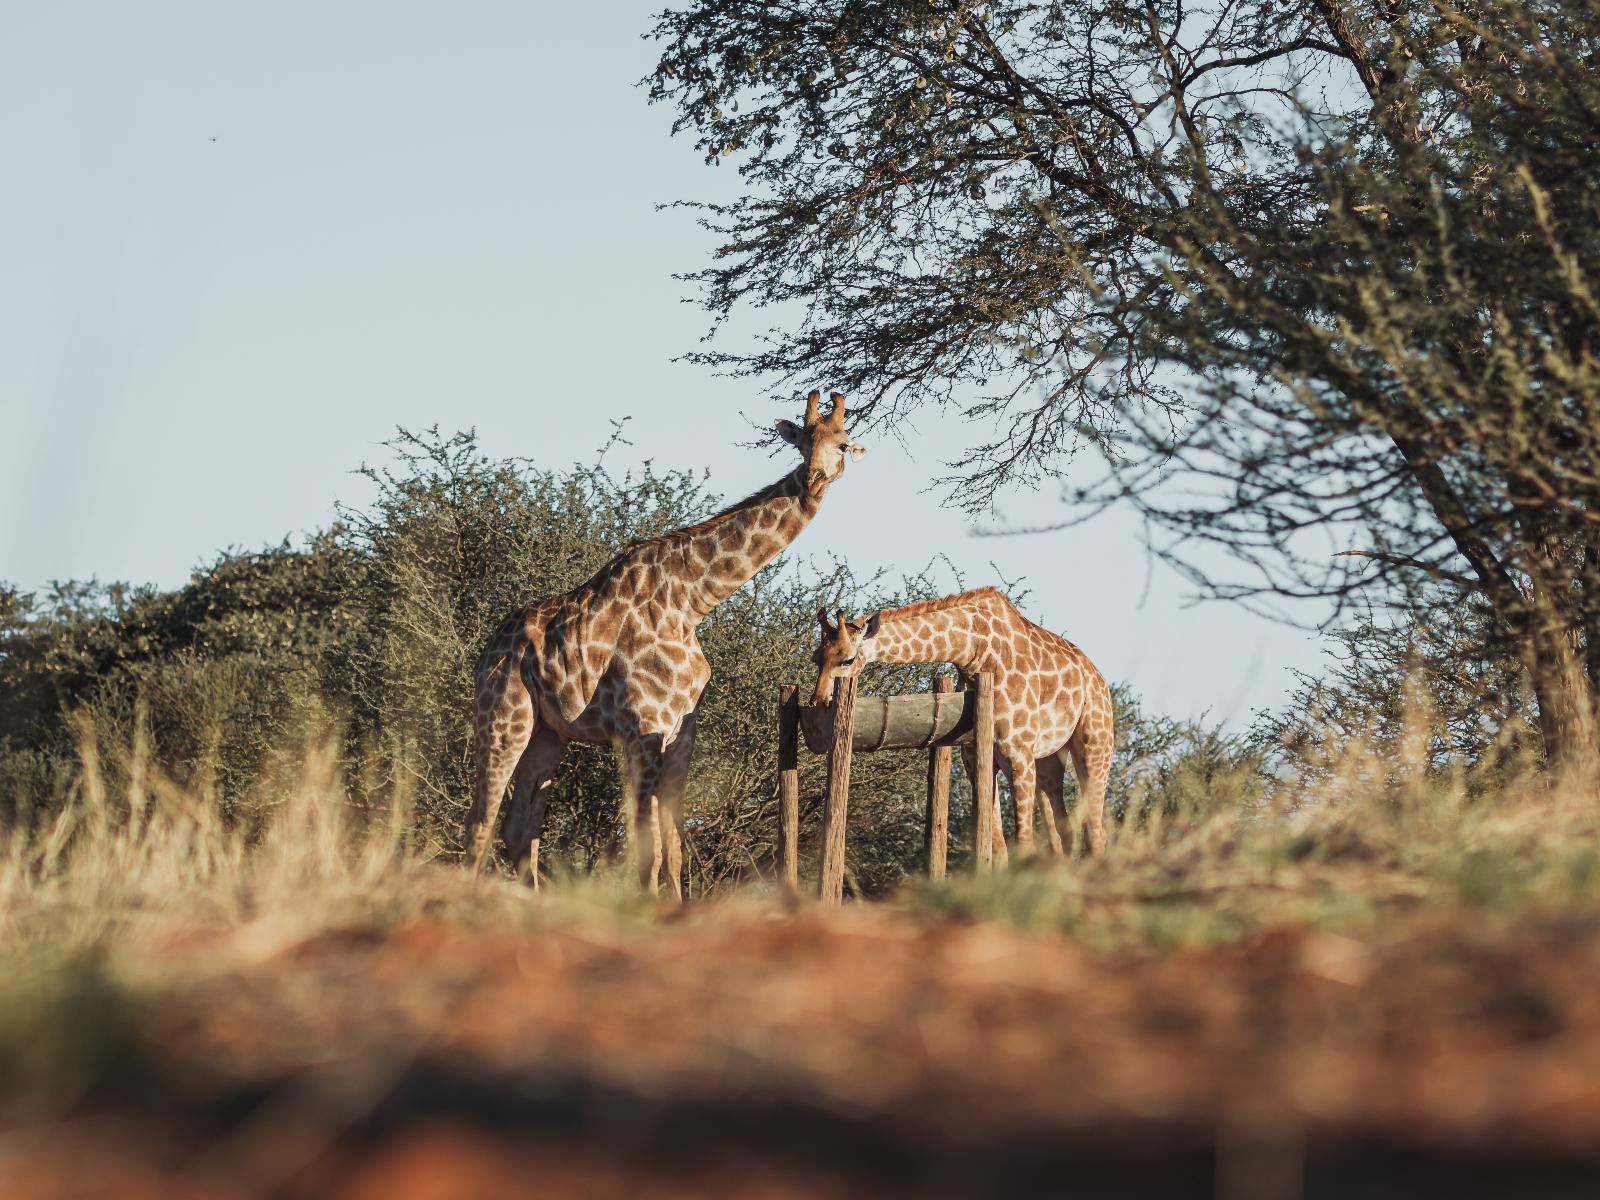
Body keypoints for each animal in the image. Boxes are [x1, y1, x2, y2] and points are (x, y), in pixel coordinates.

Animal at [467, 390, 870, 896]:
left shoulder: (681, 731)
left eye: (842, 443)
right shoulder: (643, 725)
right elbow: (649, 848)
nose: (814, 479)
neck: (692, 602)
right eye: (803, 442)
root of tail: (488, 652)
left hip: (547, 734)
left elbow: (673, 850)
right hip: (504, 718)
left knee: (519, 827)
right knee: (480, 822)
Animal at [812, 588, 1113, 857]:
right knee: (1064, 831)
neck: (974, 654)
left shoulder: (1017, 755)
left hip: (1094, 747)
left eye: (848, 659)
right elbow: (998, 846)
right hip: (1048, 759)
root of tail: (1098, 678)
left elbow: (1023, 842)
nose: (819, 701)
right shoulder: (975, 758)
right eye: (817, 658)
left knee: (1096, 831)